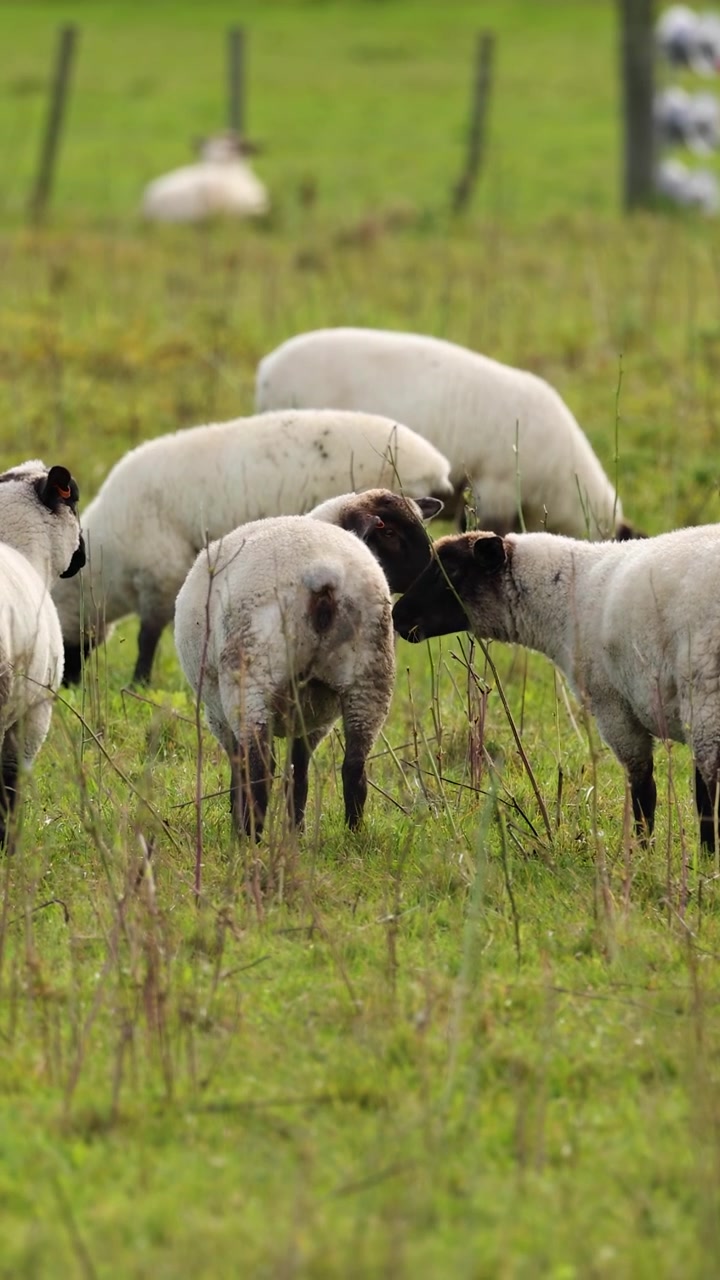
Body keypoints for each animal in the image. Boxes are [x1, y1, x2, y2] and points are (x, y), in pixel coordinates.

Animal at [52, 410, 451, 686]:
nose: (69, 685)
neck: (109, 569)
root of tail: (435, 465)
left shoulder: (160, 572)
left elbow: (146, 636)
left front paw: (140, 682)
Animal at [174, 516, 395, 837]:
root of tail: (323, 573)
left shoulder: (217, 715)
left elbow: (240, 767)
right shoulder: (312, 721)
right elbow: (298, 771)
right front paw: (296, 831)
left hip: (251, 675)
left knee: (260, 769)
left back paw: (249, 836)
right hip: (370, 675)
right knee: (354, 767)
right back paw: (353, 835)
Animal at [392, 525, 720, 850]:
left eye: (451, 570)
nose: (398, 615)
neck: (567, 597)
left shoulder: (613, 707)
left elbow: (643, 787)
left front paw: (643, 853)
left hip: (706, 695)